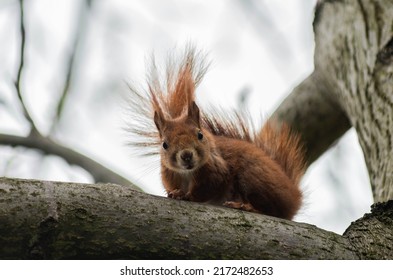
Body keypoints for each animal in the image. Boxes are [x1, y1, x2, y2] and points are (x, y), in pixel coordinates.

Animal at [127, 47, 304, 220]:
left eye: (200, 135)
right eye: (164, 144)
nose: (186, 155)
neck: (187, 173)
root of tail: (294, 197)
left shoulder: (217, 171)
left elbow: (207, 189)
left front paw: (189, 196)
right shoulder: (170, 175)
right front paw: (176, 193)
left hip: (254, 176)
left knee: (272, 209)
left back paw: (247, 206)